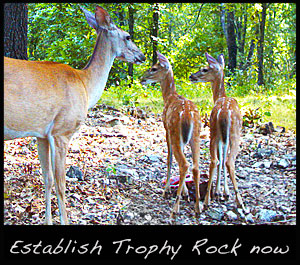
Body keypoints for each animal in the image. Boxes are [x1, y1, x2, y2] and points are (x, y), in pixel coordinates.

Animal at [3, 6, 145, 223]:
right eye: (128, 36)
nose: (142, 56)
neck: (85, 84)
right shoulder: (62, 131)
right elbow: (61, 184)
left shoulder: (41, 135)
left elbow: (47, 179)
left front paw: (47, 221)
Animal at [141, 51, 203, 217]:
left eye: (154, 68)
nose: (142, 78)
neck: (169, 97)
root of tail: (189, 115)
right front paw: (185, 191)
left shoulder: (166, 129)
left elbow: (169, 158)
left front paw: (168, 189)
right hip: (195, 136)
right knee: (195, 166)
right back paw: (198, 206)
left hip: (175, 133)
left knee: (184, 163)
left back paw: (175, 207)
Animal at [190, 52, 246, 211]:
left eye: (204, 69)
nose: (191, 76)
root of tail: (224, 112)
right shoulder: (224, 137)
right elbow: (223, 158)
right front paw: (222, 191)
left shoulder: (222, 137)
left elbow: (221, 157)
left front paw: (221, 191)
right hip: (231, 134)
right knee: (227, 161)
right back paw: (238, 201)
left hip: (217, 133)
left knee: (217, 160)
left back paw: (209, 199)